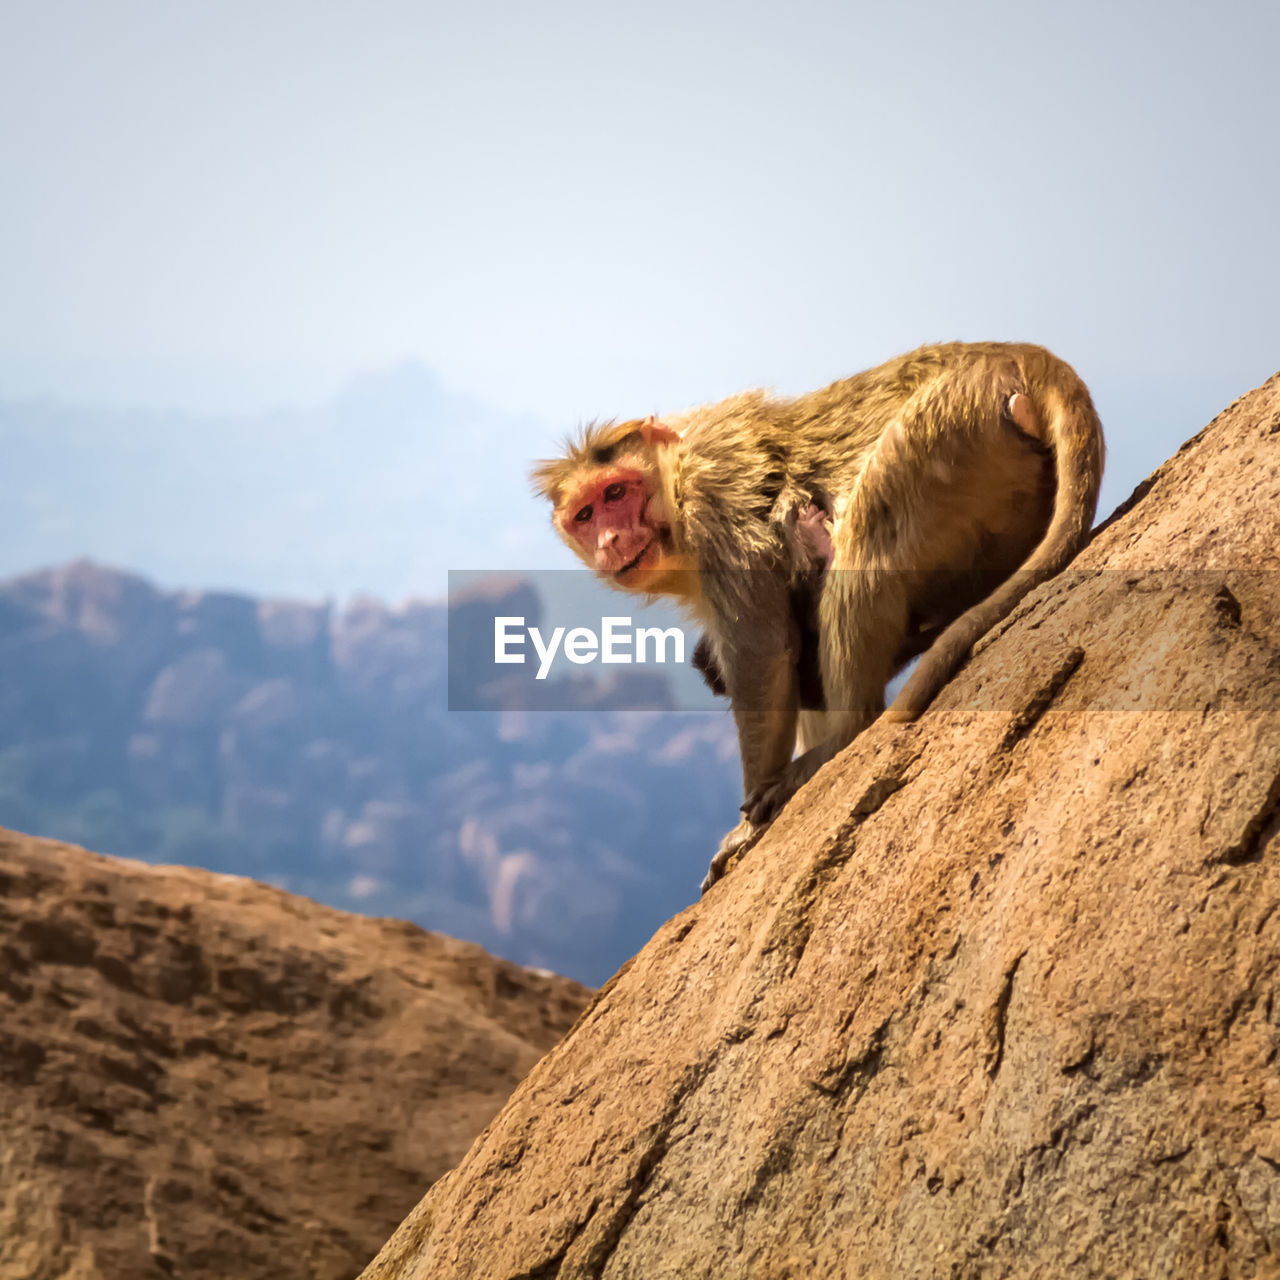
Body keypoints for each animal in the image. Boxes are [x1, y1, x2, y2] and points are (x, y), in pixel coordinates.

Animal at [535, 345, 1105, 896]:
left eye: (617, 492)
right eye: (585, 515)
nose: (610, 540)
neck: (676, 482)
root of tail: (1021, 358)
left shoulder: (713, 503)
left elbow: (761, 654)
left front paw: (746, 826)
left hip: (950, 432)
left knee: (868, 541)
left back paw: (844, 736)